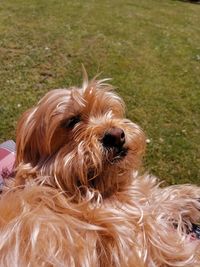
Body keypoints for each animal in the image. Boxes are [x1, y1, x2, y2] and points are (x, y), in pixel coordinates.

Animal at [0, 71, 200, 267]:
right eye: (72, 121)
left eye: (107, 110)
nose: (116, 136)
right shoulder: (142, 240)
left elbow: (155, 196)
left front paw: (192, 197)